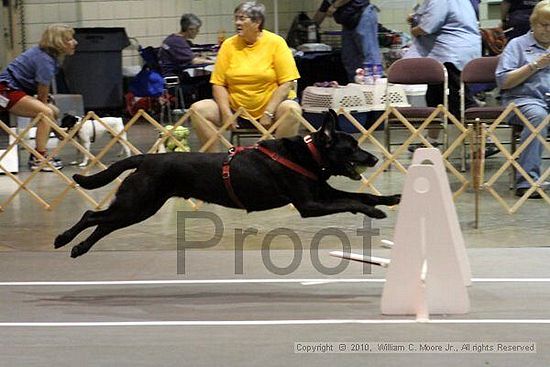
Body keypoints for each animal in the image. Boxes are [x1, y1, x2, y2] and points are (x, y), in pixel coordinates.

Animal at [56, 110, 402, 258]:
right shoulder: (311, 204)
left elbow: (363, 195)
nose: (373, 158)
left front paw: (392, 198)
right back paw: (63, 238)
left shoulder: (323, 192)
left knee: (104, 224)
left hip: (139, 207)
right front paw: (375, 213)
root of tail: (145, 159)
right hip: (137, 203)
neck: (310, 155)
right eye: (352, 147)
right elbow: (352, 201)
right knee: (92, 216)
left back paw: (78, 248)